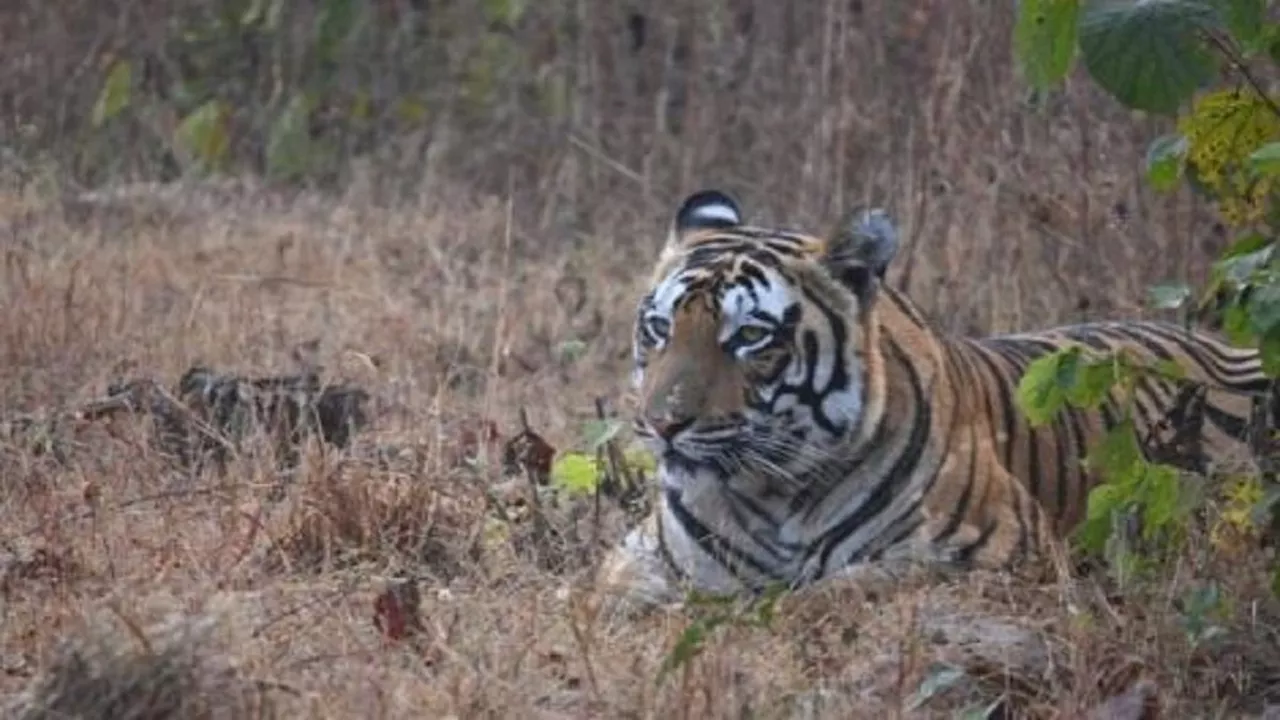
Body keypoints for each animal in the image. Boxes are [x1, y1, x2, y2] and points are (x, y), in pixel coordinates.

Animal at [593, 188, 1274, 607]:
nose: (661, 425)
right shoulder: (643, 553)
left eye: (750, 337)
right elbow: (605, 597)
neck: (771, 495)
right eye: (659, 328)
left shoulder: (993, 551)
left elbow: (833, 592)